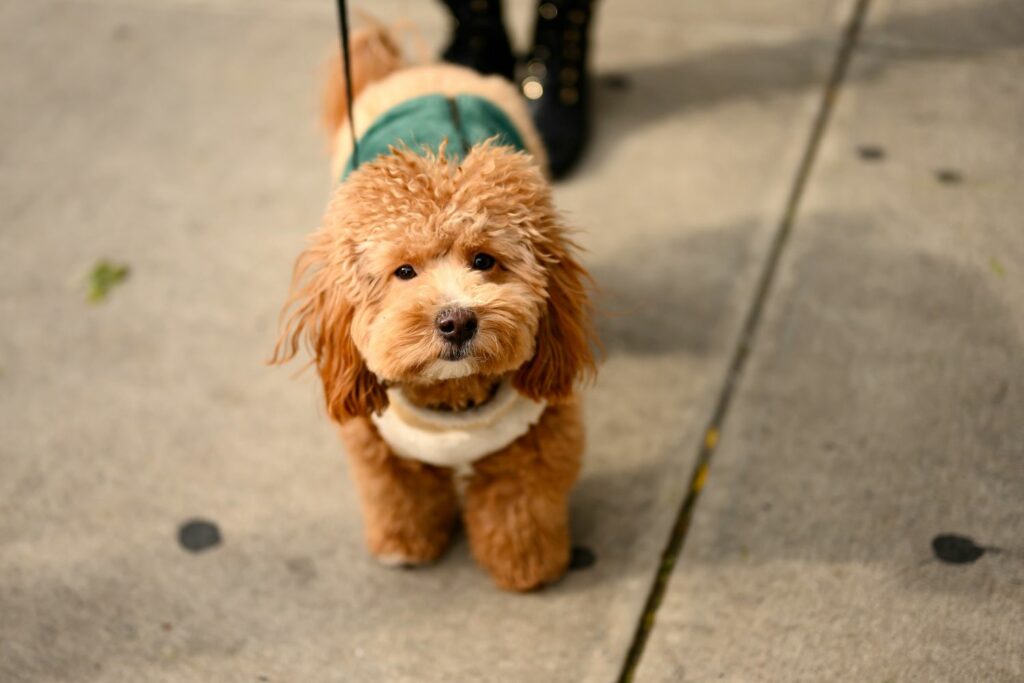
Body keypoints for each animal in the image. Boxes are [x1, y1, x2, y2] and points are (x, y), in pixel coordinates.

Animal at [272, 26, 598, 593]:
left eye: (484, 260)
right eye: (404, 271)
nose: (457, 320)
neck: (453, 403)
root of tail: (422, 71)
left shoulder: (535, 440)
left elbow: (521, 505)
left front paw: (526, 564)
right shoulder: (380, 444)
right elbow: (401, 494)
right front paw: (404, 545)